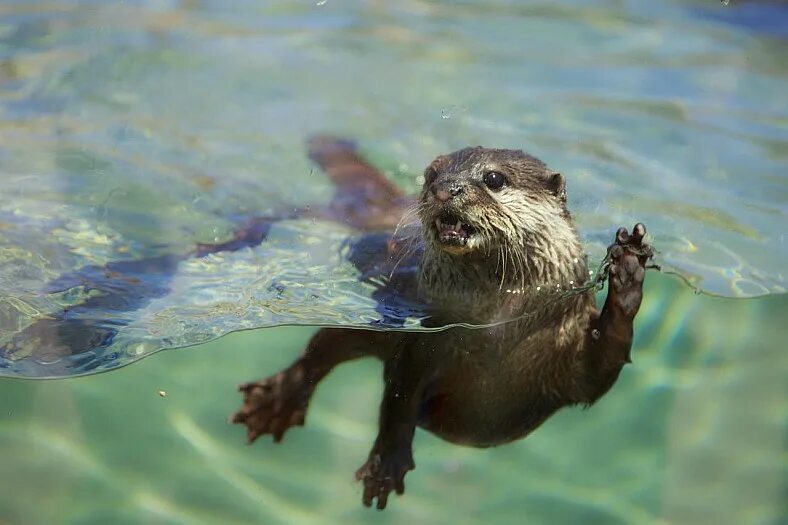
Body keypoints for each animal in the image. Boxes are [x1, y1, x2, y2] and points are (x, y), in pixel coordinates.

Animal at [229, 135, 652, 508]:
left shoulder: (567, 346)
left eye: (494, 178)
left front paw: (628, 270)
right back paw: (275, 400)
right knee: (325, 345)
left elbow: (600, 371)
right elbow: (398, 399)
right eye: (432, 174)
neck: (498, 324)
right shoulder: (424, 339)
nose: (445, 189)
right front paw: (386, 464)